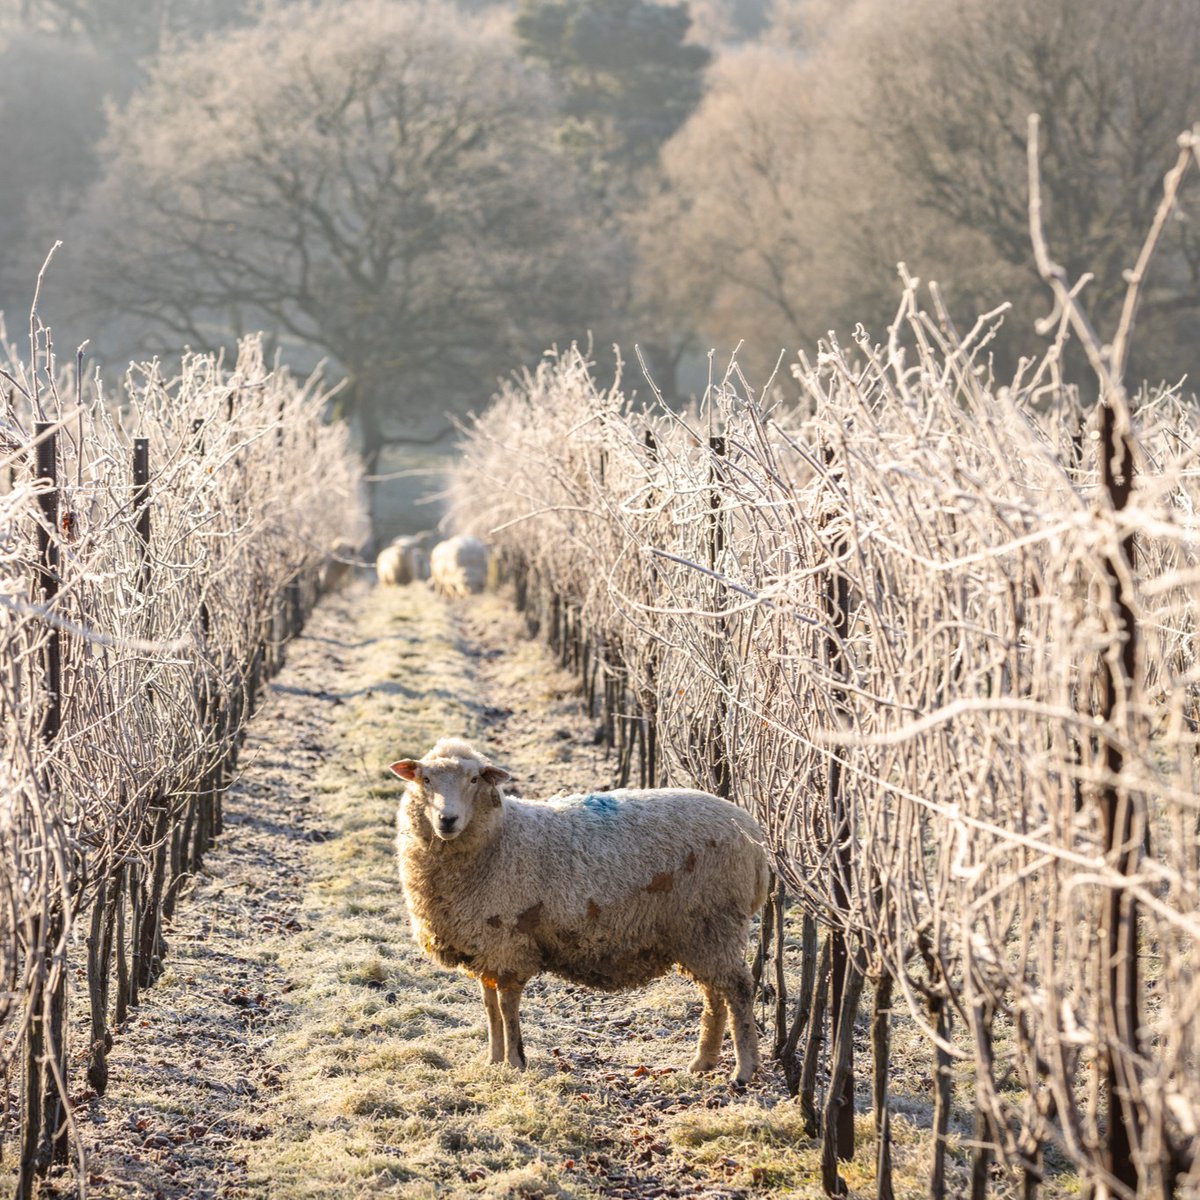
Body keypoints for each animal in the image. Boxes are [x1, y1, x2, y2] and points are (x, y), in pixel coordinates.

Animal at [390, 737, 770, 1082]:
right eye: (426, 779)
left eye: (474, 779)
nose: (447, 820)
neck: (500, 839)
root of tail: (754, 836)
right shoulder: (485, 945)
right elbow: (490, 1007)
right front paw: (493, 1060)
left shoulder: (508, 944)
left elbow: (507, 1006)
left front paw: (514, 1062)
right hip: (698, 930)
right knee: (714, 993)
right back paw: (703, 1062)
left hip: (713, 919)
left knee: (737, 989)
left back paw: (744, 1070)